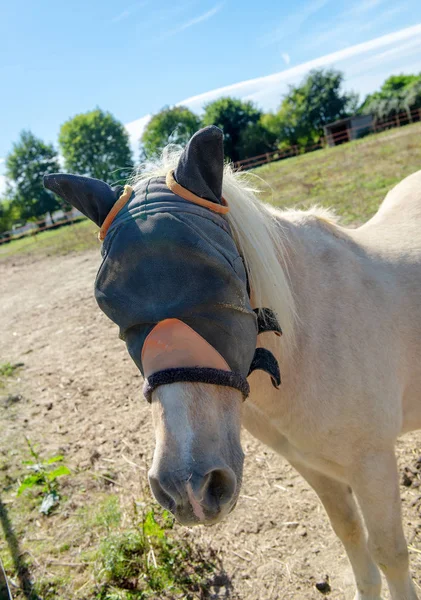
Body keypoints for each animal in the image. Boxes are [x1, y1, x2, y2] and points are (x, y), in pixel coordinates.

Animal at [44, 124, 420, 596]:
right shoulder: (313, 466)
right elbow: (351, 535)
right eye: (109, 305)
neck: (308, 342)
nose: (188, 488)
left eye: (224, 285)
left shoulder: (372, 464)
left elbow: (390, 553)